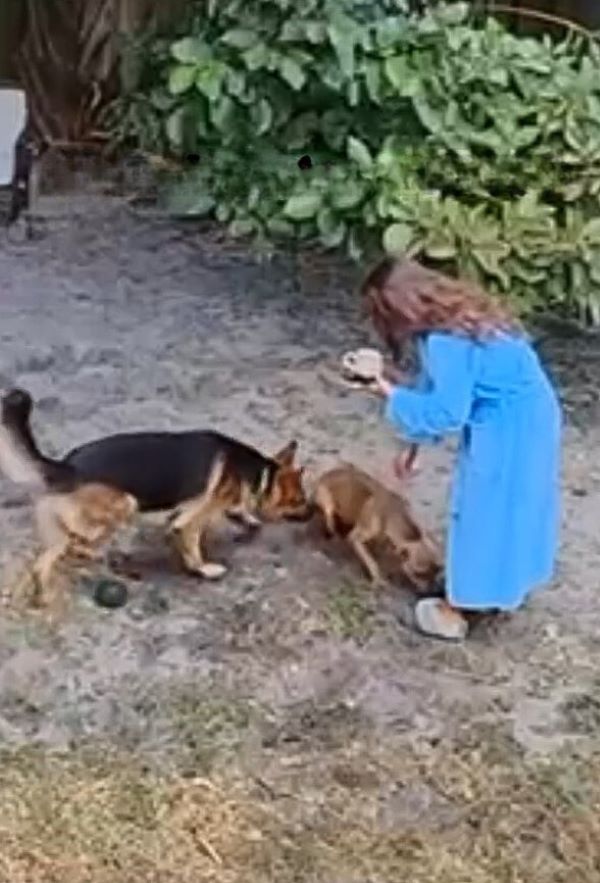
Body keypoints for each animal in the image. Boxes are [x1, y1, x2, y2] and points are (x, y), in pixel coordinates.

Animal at [312, 462, 442, 592]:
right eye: (419, 573)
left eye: (436, 571)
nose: (433, 590)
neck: (393, 515)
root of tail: (326, 474)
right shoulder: (356, 537)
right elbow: (372, 562)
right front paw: (377, 578)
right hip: (327, 501)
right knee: (329, 515)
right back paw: (333, 529)